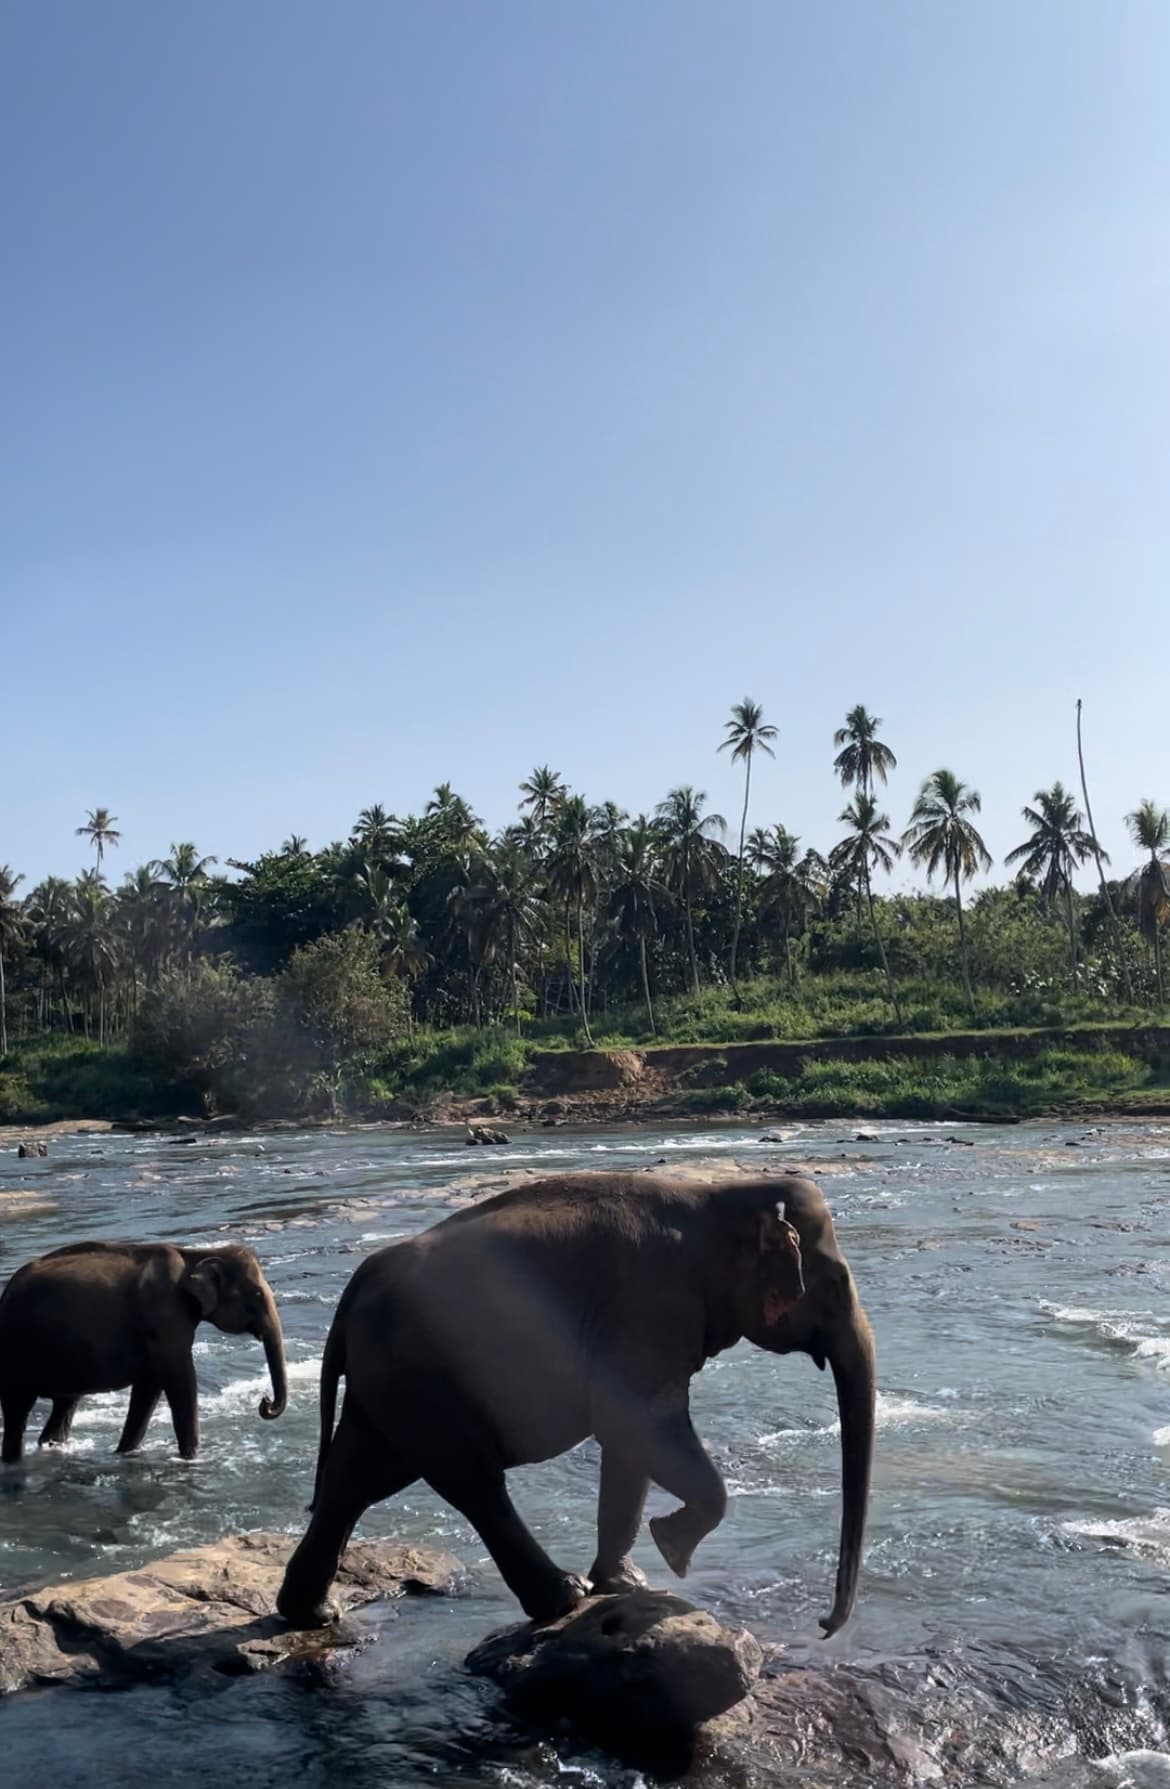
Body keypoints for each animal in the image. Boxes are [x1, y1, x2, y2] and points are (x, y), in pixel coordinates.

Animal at [0, 1237, 288, 1459]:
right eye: (257, 1295)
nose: (265, 1402)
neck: (194, 1256)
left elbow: (149, 1387)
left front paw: (124, 1453)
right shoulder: (164, 1318)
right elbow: (180, 1380)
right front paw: (192, 1458)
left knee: (64, 1406)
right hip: (16, 1349)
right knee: (17, 1412)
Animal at [279, 1166, 876, 1638]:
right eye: (834, 1282)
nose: (824, 1625)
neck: (720, 1195)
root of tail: (355, 1286)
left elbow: (629, 1445)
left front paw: (625, 1583)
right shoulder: (650, 1306)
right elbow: (637, 1422)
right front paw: (670, 1549)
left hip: (388, 1382)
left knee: (357, 1477)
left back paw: (312, 1614)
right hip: (422, 1377)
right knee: (471, 1481)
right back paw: (563, 1596)